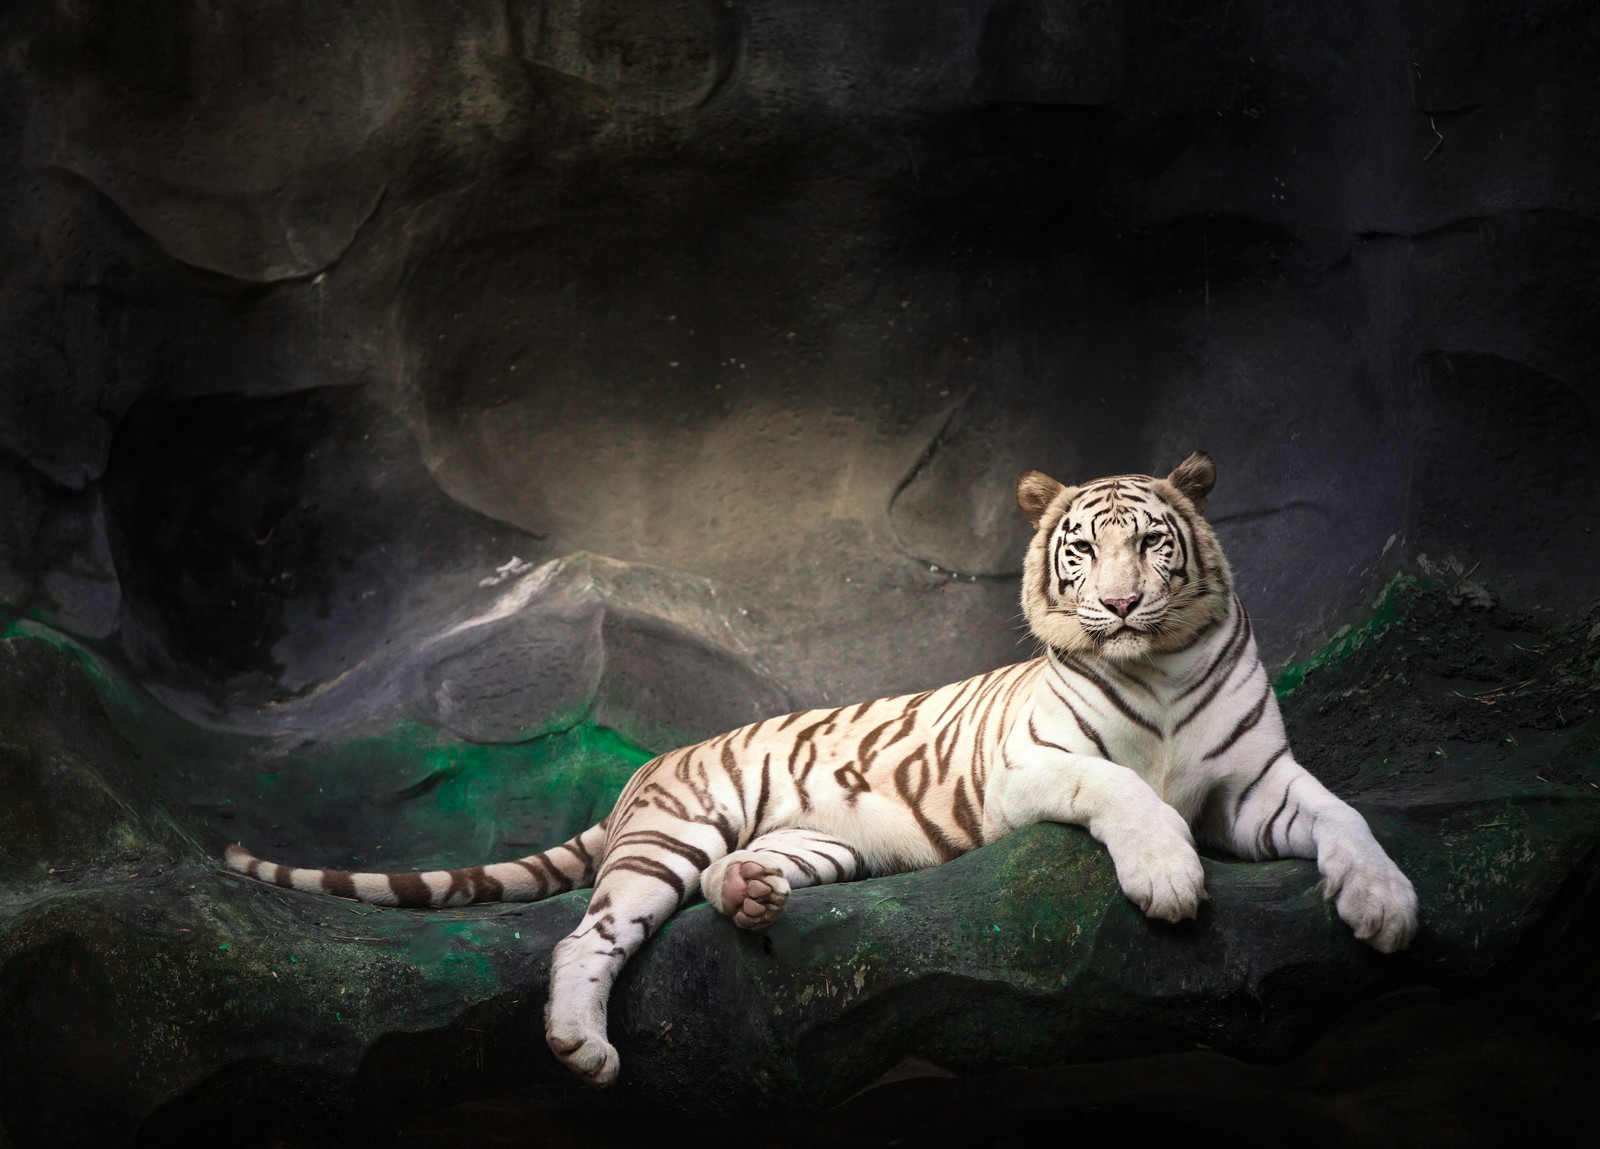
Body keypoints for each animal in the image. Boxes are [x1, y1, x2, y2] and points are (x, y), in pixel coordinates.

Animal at [225, 451, 1414, 1088]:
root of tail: (643, 772)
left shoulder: (1256, 785)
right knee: (588, 933)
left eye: (1155, 545)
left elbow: (1346, 816)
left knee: (728, 885)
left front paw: (1389, 906)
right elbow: (1119, 788)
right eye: (1083, 549)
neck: (1154, 667)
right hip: (675, 833)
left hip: (816, 840)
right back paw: (581, 1045)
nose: (1119, 604)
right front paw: (1166, 880)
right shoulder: (1032, 766)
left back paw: (752, 894)